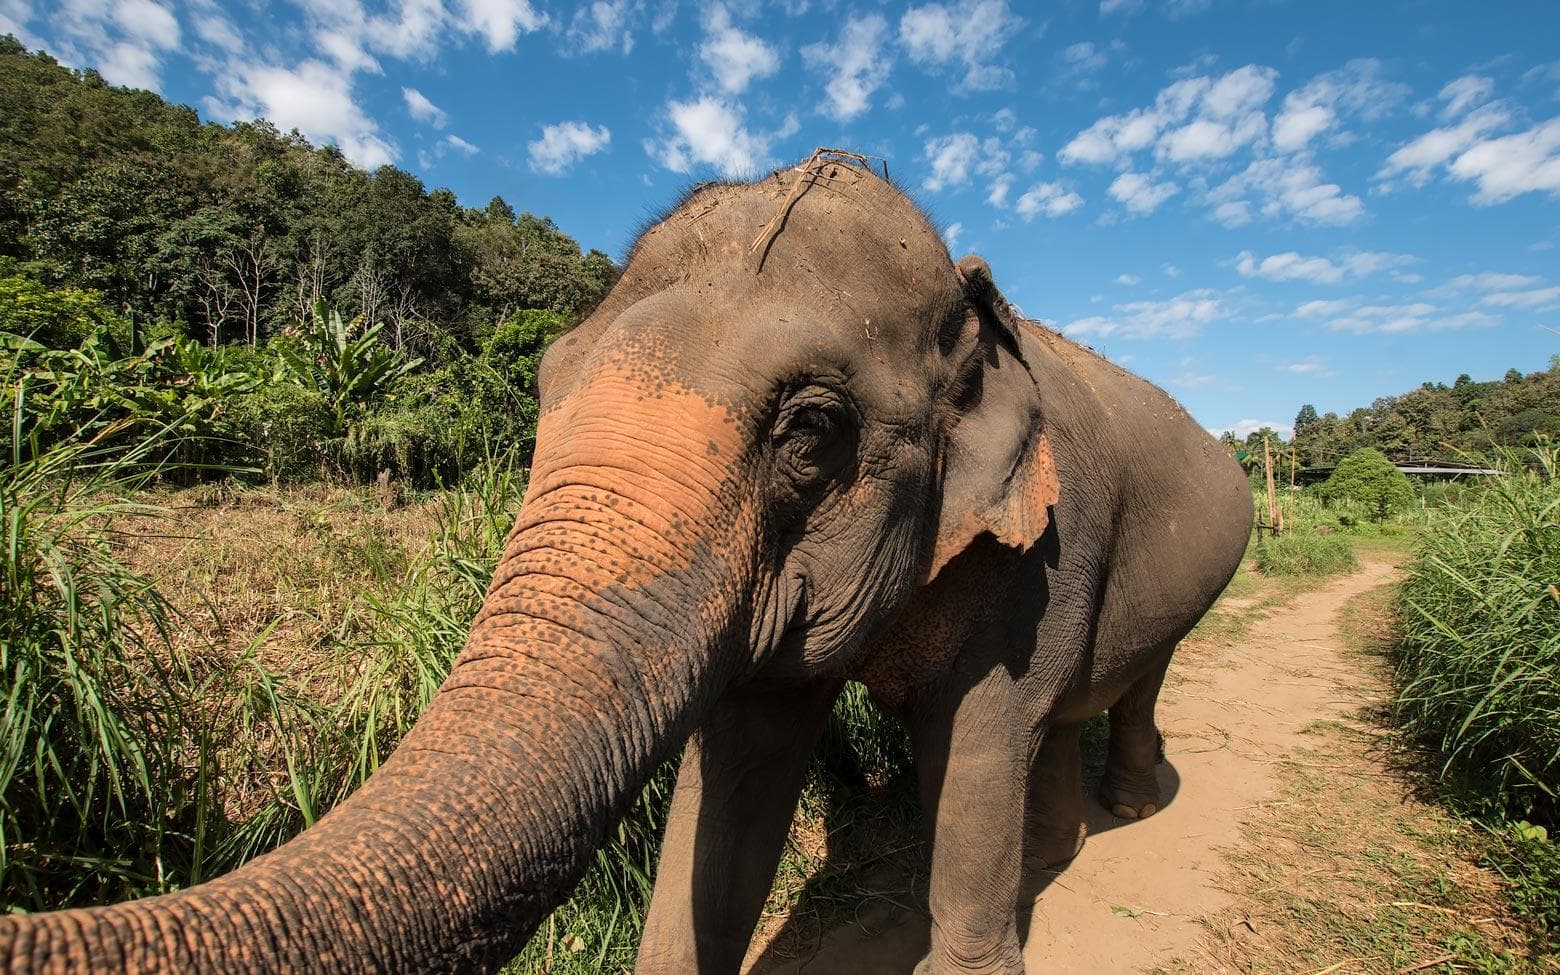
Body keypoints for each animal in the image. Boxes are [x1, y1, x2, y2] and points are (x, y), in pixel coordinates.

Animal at [0, 153, 1248, 973]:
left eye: (812, 429)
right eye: (545, 380)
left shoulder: (1034, 559)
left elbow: (981, 743)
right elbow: (737, 774)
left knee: (1128, 683)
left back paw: (1129, 808)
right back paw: (1065, 843)